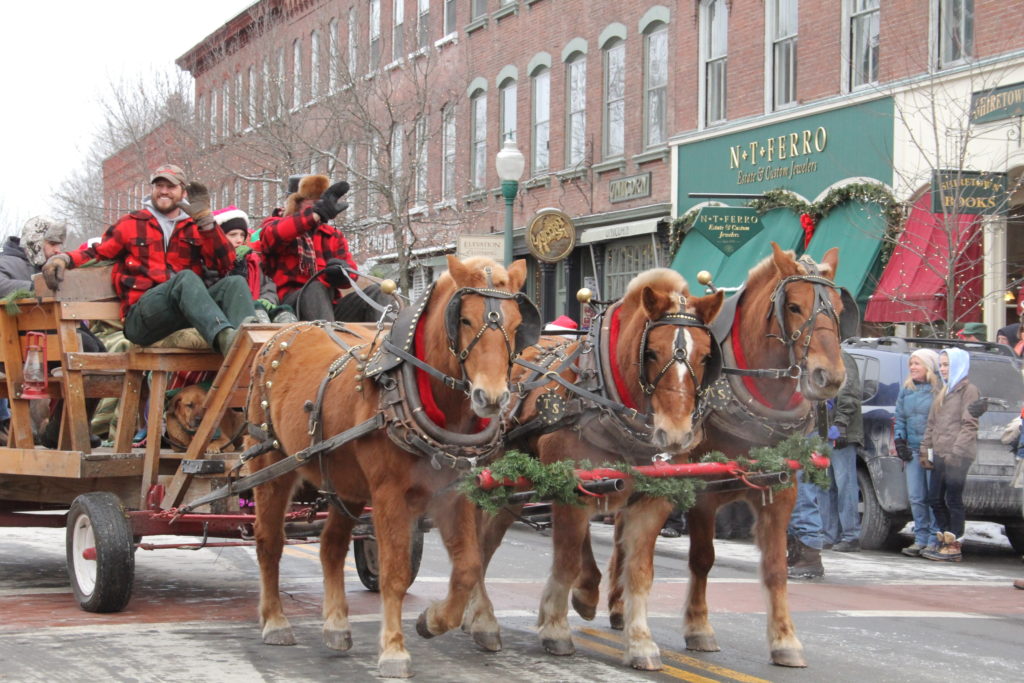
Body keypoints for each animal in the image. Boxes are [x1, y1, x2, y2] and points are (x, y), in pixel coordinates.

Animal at [247, 254, 532, 679]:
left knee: (331, 545)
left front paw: (433, 621)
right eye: (464, 320)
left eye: (516, 324)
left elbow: (468, 566)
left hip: (345, 484)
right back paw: (275, 621)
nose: (492, 398)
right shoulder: (388, 495)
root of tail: (283, 334)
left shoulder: (454, 493)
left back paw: (336, 625)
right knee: (269, 542)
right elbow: (394, 574)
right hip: (271, 467)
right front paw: (394, 650)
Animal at [460, 266, 724, 667]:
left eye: (707, 356)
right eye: (651, 352)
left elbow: (639, 572)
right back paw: (480, 618)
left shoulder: (650, 499)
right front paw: (555, 629)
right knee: (479, 541)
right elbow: (567, 560)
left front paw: (640, 642)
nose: (676, 435)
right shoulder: (571, 490)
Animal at [598, 244, 847, 667]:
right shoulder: (702, 489)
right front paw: (699, 628)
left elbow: (776, 567)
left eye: (841, 307)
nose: (829, 376)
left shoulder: (782, 489)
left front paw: (785, 639)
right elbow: (702, 557)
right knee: (622, 539)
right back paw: (617, 607)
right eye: (795, 306)